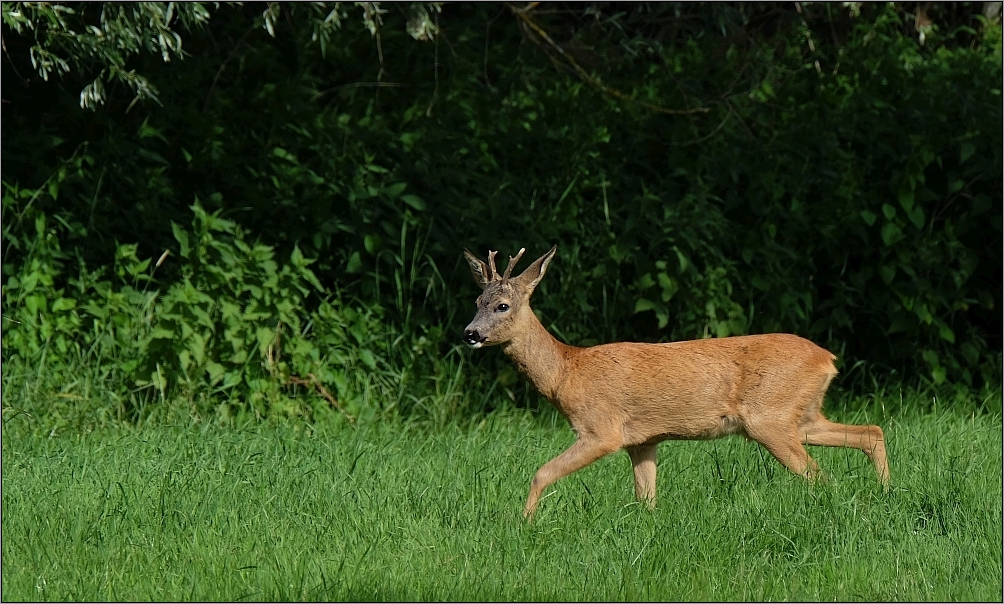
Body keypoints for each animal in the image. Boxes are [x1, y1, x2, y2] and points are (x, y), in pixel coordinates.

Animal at [459, 244, 887, 517]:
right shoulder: (642, 440)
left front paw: (524, 523)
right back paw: (886, 492)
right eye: (476, 303)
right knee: (871, 432)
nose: (470, 334)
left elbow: (540, 472)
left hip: (770, 418)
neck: (567, 370)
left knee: (819, 474)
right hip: (802, 415)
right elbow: (645, 499)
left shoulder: (601, 429)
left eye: (502, 306)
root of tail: (827, 358)